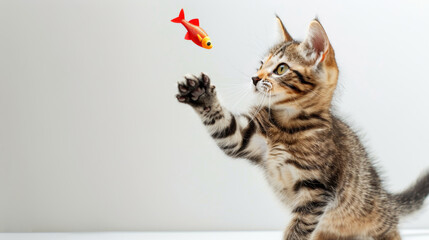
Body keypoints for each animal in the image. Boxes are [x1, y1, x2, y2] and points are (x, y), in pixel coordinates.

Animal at [174, 16, 428, 240]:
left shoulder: (316, 192)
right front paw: (200, 94)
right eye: (260, 64)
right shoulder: (243, 138)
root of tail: (386, 197)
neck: (287, 126)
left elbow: (297, 228)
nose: (254, 78)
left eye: (281, 69)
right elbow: (224, 125)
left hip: (377, 219)